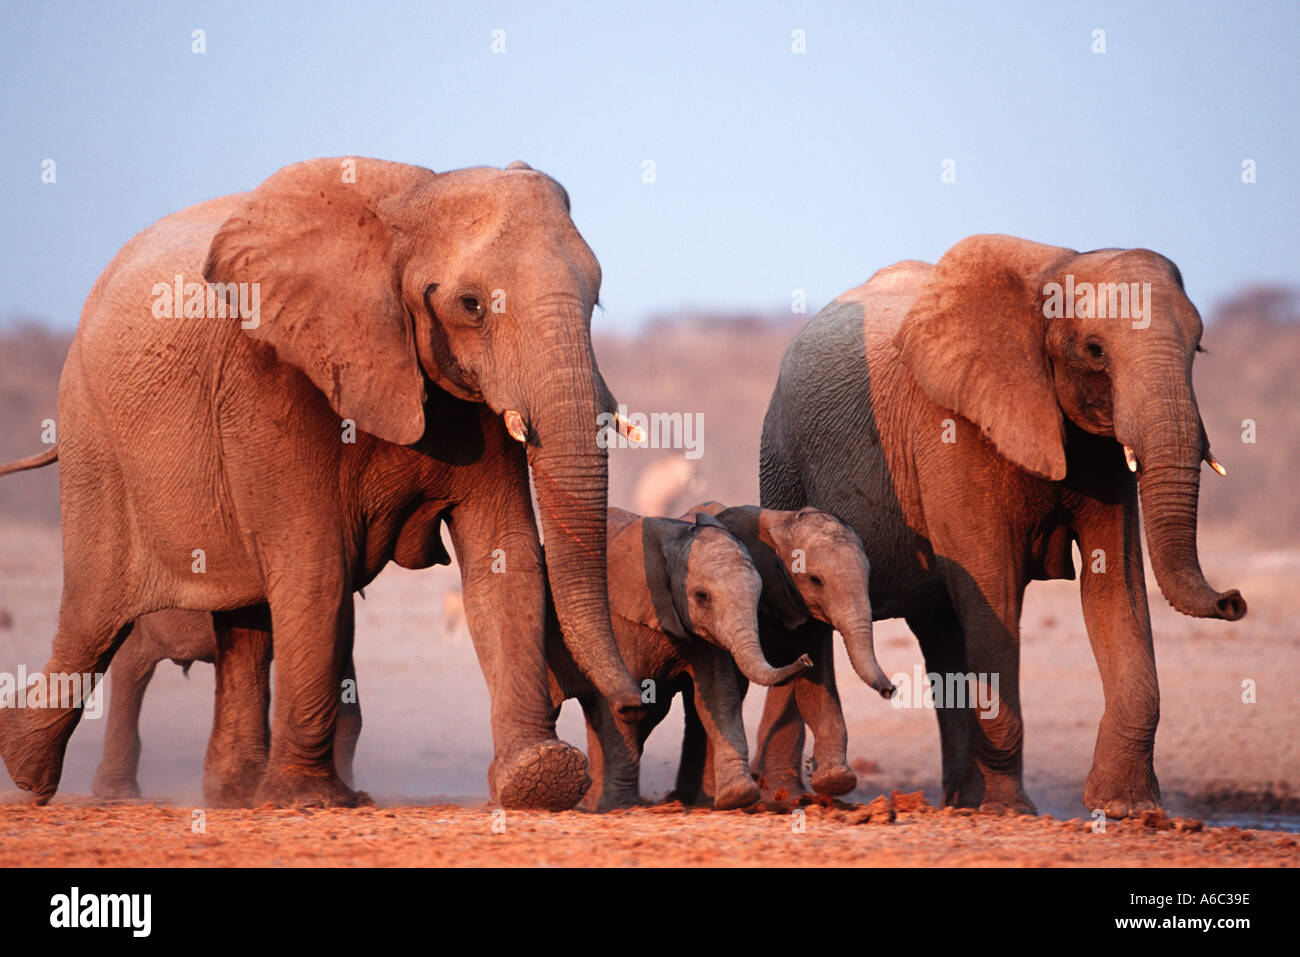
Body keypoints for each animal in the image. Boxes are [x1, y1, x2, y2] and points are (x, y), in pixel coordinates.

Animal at [545, 507, 812, 811]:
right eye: (702, 596)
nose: (805, 659)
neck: (676, 539)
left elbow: (719, 693)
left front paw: (739, 795)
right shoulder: (618, 622)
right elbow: (621, 708)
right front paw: (622, 805)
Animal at [667, 503, 895, 805]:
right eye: (816, 580)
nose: (890, 690)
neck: (782, 522)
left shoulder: (809, 617)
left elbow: (816, 684)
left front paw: (835, 780)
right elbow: (732, 690)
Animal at [756, 233, 1246, 817]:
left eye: (1199, 349)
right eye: (1095, 351)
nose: (1233, 601)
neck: (1053, 272)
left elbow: (1115, 584)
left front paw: (1131, 810)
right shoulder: (948, 429)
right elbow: (994, 587)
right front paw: (1011, 809)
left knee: (942, 631)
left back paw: (959, 801)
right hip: (782, 463)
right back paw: (787, 797)